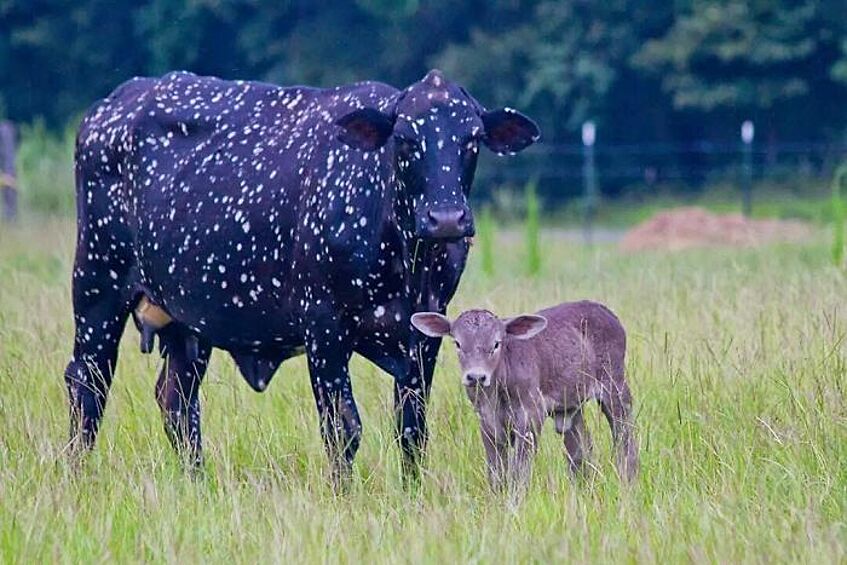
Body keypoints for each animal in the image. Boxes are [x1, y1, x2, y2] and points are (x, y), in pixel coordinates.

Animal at [69, 68, 540, 478]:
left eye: (472, 139)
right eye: (405, 139)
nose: (445, 218)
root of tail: (114, 103)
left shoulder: (425, 335)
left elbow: (411, 428)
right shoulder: (324, 327)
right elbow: (343, 428)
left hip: (187, 323)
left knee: (178, 403)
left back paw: (197, 483)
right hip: (97, 285)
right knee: (87, 384)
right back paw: (78, 477)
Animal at [410, 300, 636, 490]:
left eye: (496, 343)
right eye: (457, 343)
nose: (476, 377)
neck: (495, 394)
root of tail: (605, 311)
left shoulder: (531, 415)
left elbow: (520, 471)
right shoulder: (486, 422)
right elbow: (496, 471)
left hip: (615, 386)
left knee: (625, 435)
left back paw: (628, 481)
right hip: (570, 407)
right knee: (582, 449)